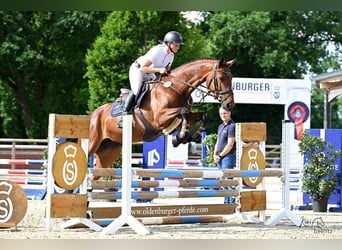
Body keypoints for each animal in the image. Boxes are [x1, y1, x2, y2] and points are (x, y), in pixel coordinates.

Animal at [89, 57, 235, 169]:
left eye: (231, 78)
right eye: (221, 78)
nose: (229, 104)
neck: (177, 88)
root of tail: (94, 114)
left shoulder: (179, 118)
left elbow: (203, 115)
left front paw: (189, 136)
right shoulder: (159, 119)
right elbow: (184, 111)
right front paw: (180, 137)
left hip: (109, 151)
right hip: (93, 143)